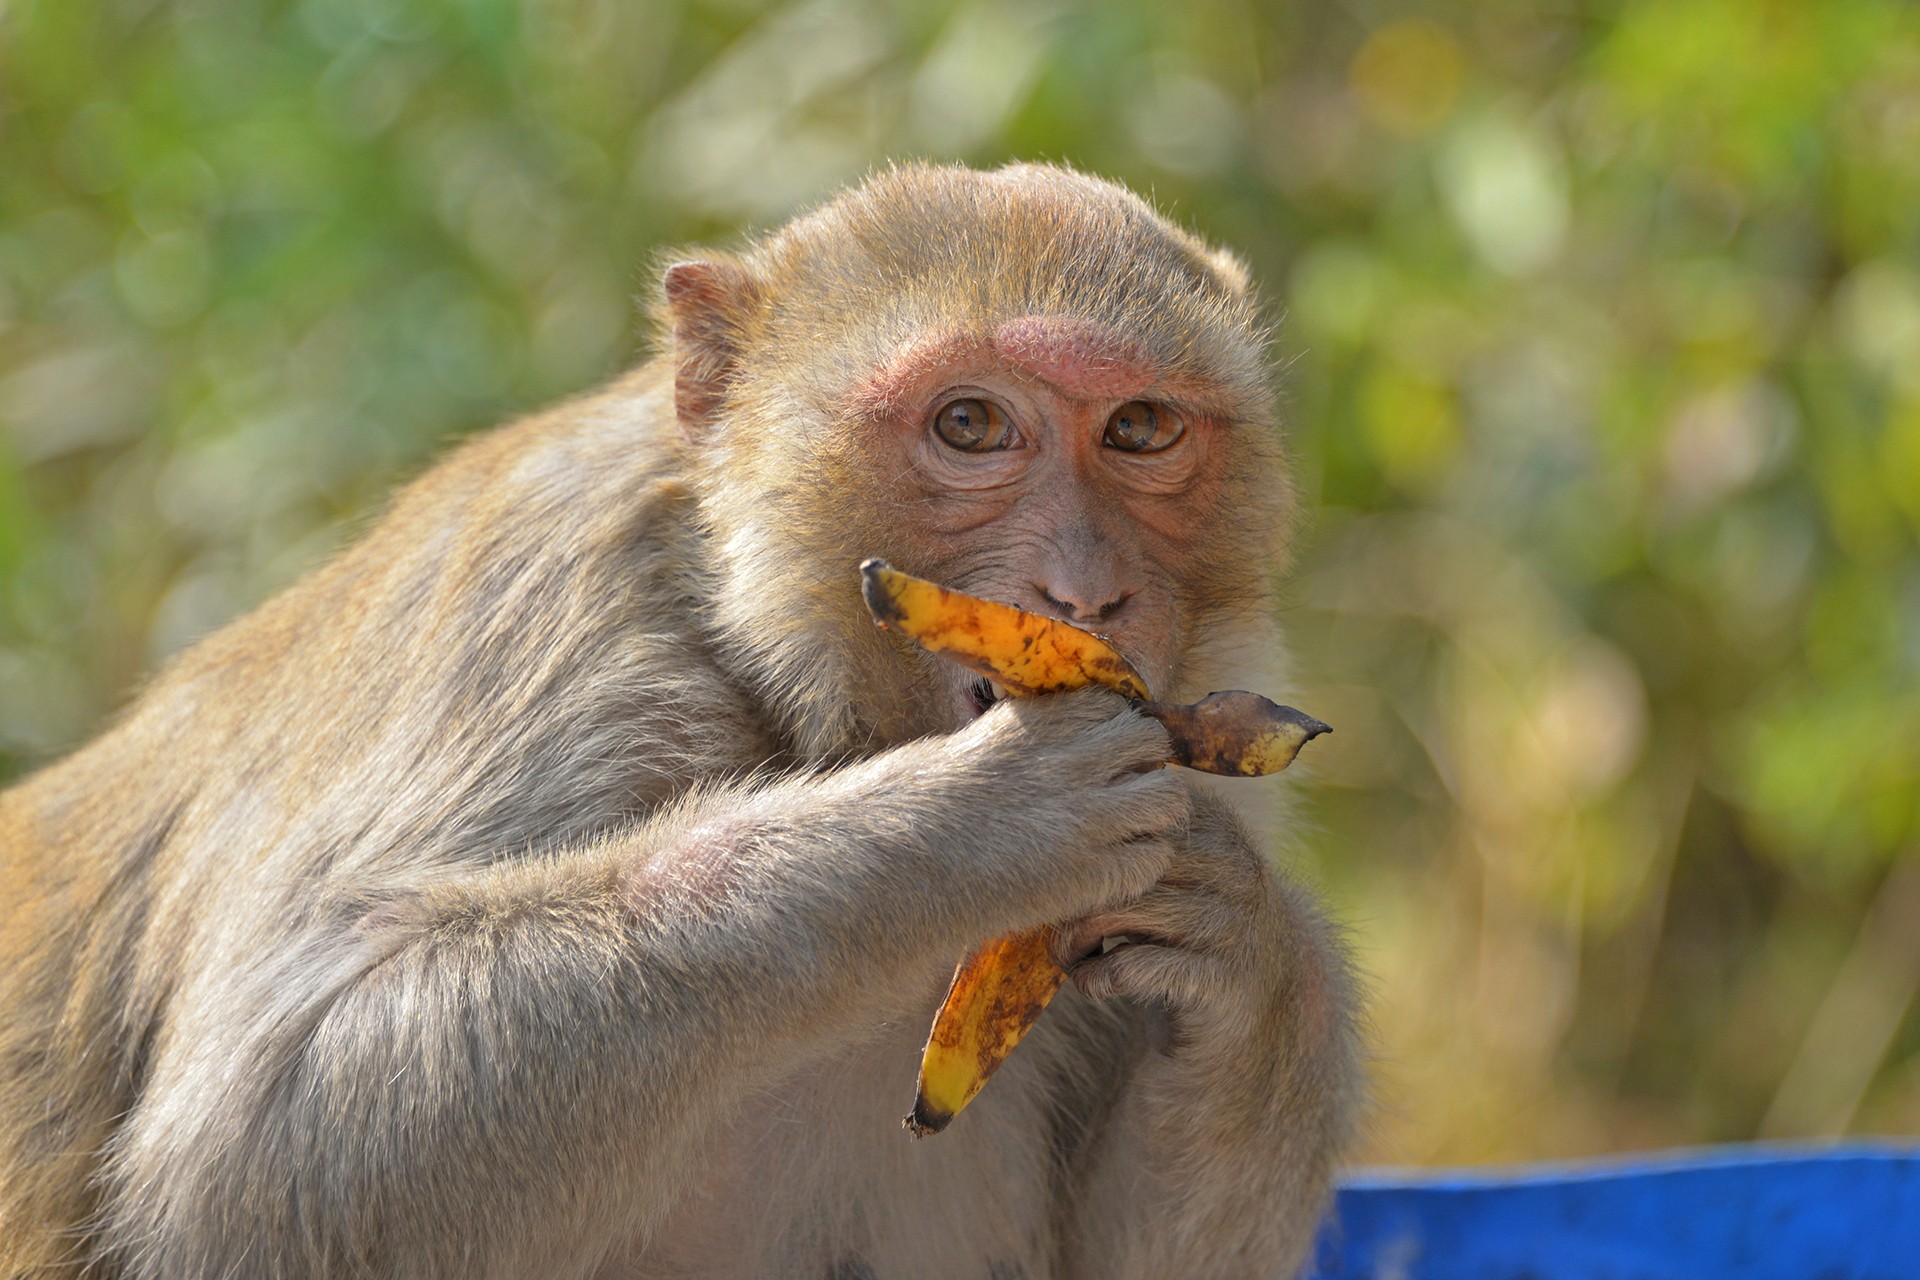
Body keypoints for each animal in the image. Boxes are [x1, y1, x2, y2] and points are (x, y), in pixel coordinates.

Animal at [0, 162, 1359, 1280]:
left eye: (1140, 429)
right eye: (969, 424)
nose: (1086, 591)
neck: (777, 693)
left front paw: (1248, 945)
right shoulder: (547, 629)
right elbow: (256, 1149)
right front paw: (970, 824)